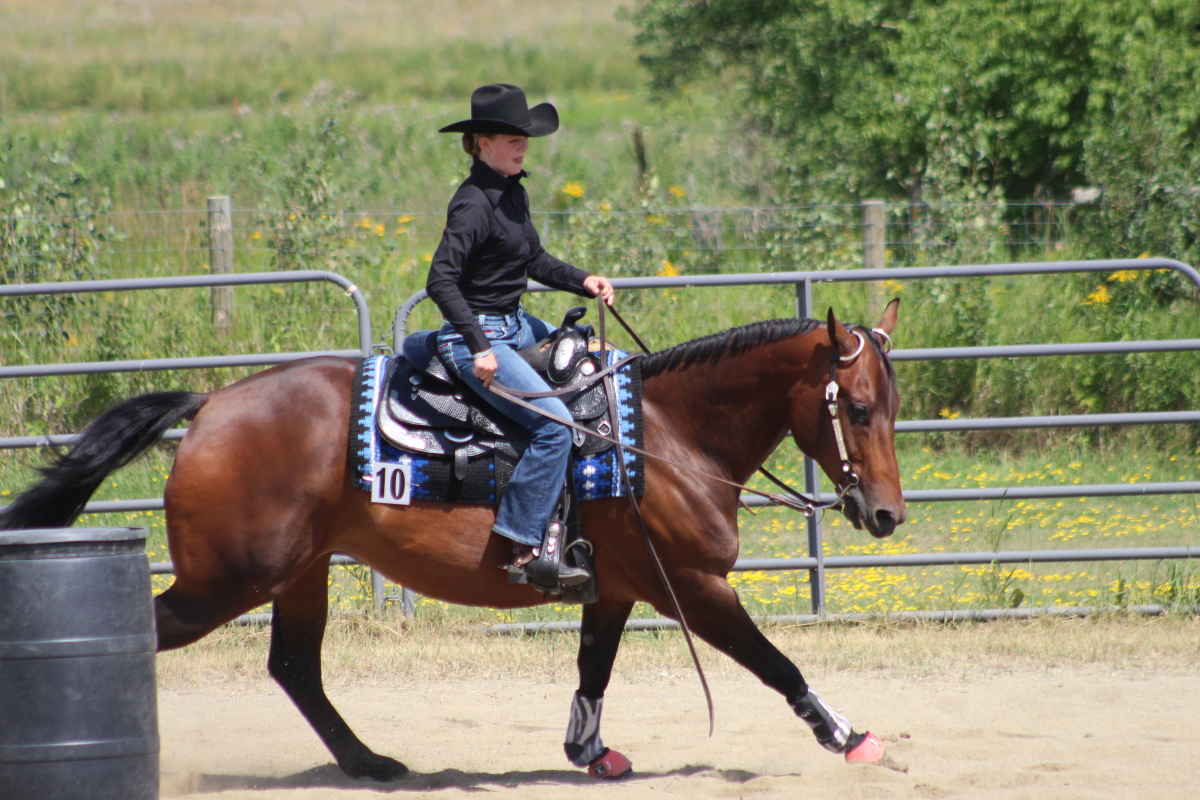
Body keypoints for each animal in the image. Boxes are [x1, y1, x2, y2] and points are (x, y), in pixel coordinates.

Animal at [0, 299, 905, 781]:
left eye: (893, 406)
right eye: (857, 408)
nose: (887, 516)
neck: (663, 436)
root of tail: (212, 406)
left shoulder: (616, 585)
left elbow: (594, 667)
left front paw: (589, 750)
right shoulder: (692, 586)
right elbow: (776, 662)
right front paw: (850, 736)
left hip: (297, 573)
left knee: (294, 667)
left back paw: (371, 765)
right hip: (226, 581)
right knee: (153, 638)